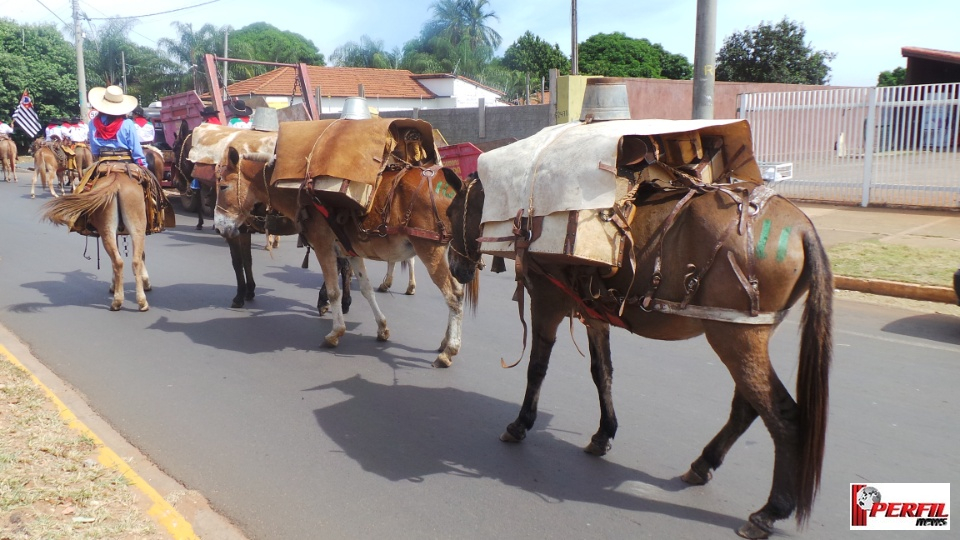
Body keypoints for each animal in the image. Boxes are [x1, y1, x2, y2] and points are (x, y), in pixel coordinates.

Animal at [42, 165, 155, 310]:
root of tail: (117, 180)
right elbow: (140, 256)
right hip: (129, 229)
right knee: (128, 261)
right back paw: (130, 301)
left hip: (123, 229)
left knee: (123, 261)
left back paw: (129, 301)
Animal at [219, 148, 466, 368]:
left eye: (222, 185)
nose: (220, 228)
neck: (302, 193)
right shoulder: (351, 251)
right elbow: (366, 289)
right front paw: (382, 328)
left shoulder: (323, 247)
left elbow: (334, 291)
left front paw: (335, 333)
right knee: (457, 292)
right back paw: (444, 341)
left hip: (429, 249)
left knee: (453, 295)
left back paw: (449, 351)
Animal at [444, 175, 832, 536]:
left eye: (450, 212)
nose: (455, 268)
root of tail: (802, 227)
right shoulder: (593, 312)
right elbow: (602, 372)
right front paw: (604, 433)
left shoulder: (546, 303)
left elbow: (537, 368)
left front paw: (521, 423)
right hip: (743, 338)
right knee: (747, 408)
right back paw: (704, 464)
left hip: (734, 338)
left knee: (783, 417)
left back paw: (770, 510)